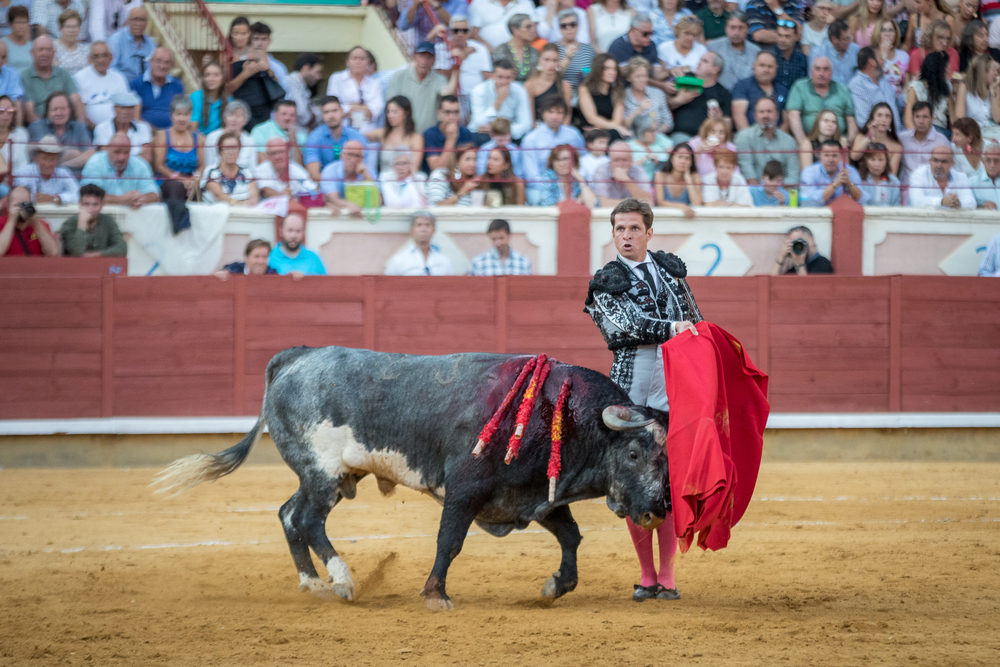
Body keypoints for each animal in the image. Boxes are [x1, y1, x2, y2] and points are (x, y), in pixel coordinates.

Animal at [154, 348, 672, 612]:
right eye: (632, 453)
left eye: (666, 460)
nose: (658, 509)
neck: (556, 410)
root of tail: (293, 359)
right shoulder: (465, 490)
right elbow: (450, 540)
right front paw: (435, 593)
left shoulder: (533, 495)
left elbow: (571, 535)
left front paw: (556, 586)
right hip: (322, 473)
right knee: (308, 520)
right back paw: (342, 581)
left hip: (325, 475)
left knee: (288, 515)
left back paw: (313, 583)